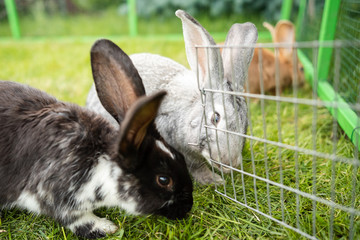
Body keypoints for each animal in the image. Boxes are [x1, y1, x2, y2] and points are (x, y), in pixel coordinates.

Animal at [0, 39, 194, 238]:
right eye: (163, 180)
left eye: (181, 157)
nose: (187, 208)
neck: (101, 159)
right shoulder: (54, 195)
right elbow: (75, 219)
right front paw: (105, 227)